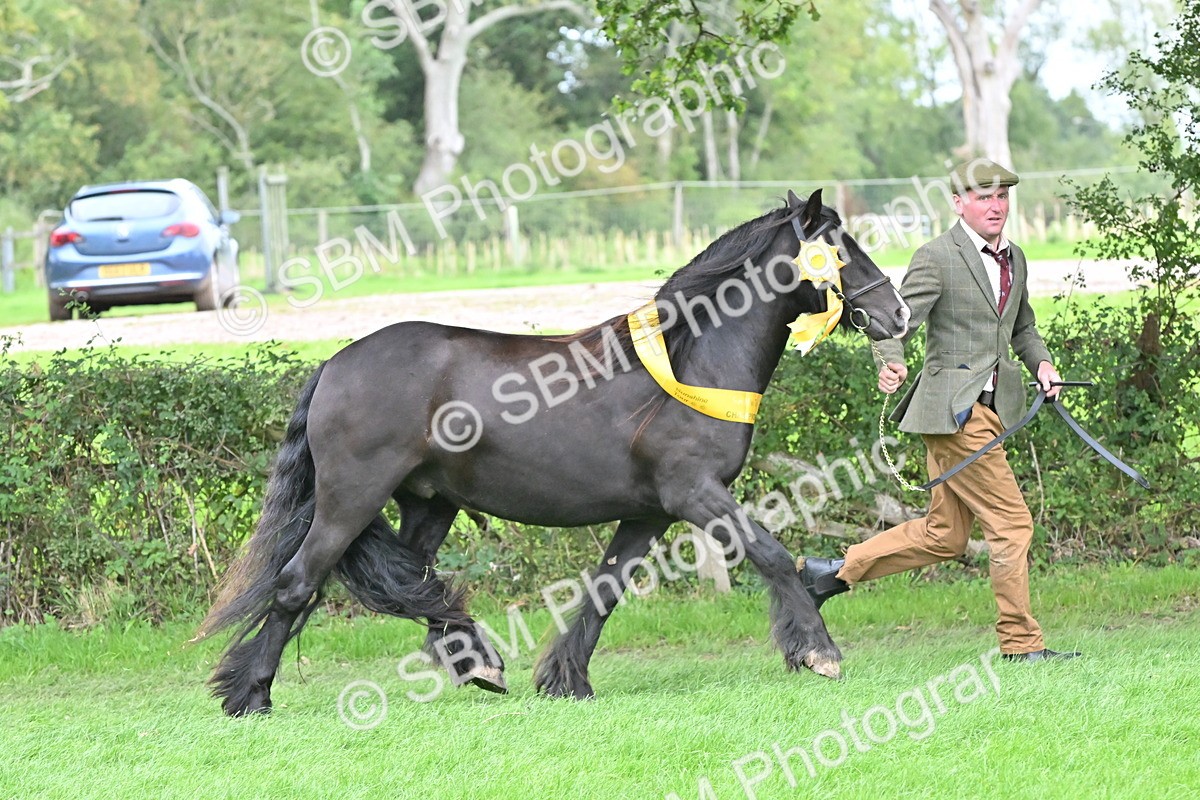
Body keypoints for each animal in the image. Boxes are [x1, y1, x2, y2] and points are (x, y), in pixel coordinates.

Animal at [198, 188, 910, 716]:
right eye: (838, 248)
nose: (897, 313)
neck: (690, 360)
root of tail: (335, 364)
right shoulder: (696, 494)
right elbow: (772, 555)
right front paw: (818, 651)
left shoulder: (648, 512)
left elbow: (604, 591)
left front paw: (567, 678)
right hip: (350, 499)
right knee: (300, 583)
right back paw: (250, 694)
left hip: (428, 503)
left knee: (412, 584)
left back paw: (477, 661)